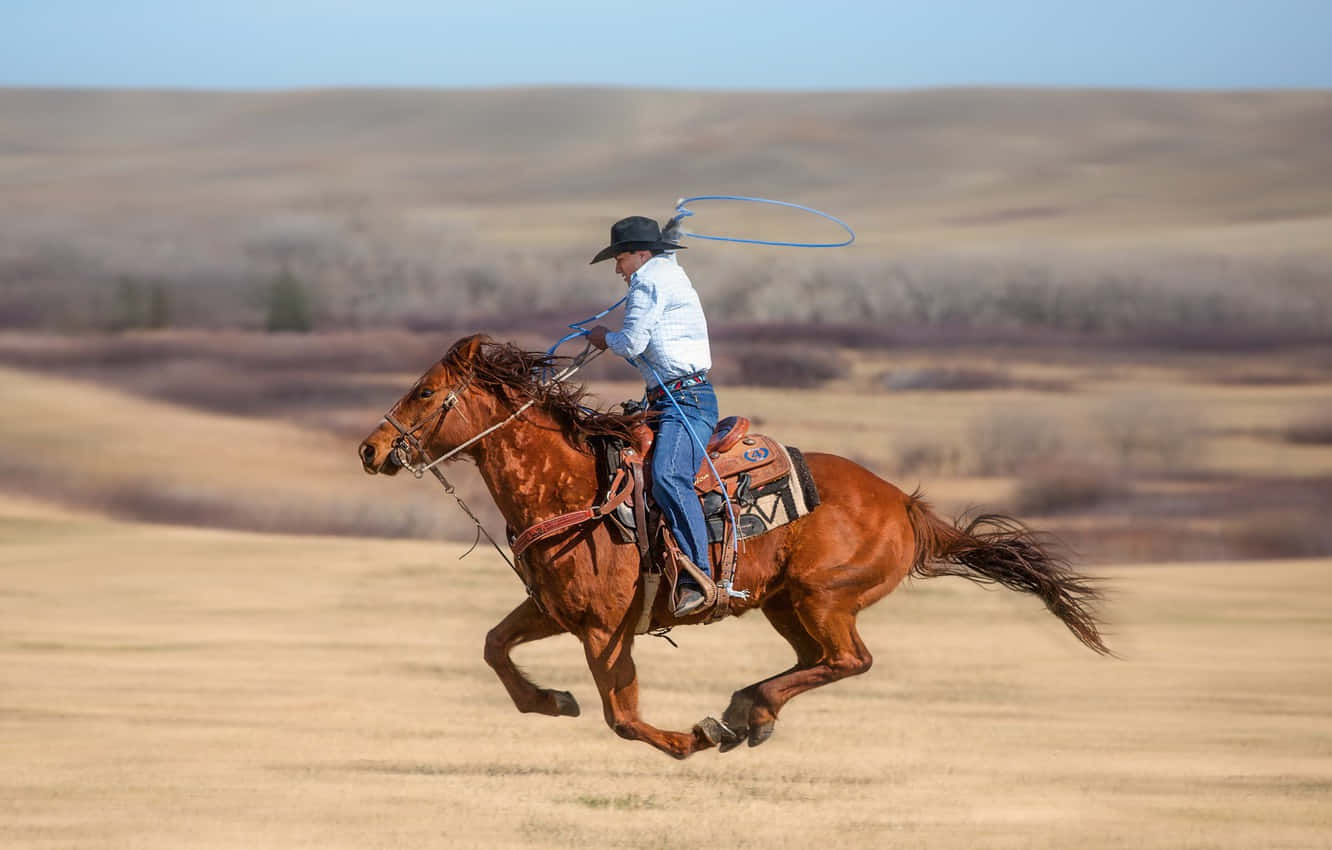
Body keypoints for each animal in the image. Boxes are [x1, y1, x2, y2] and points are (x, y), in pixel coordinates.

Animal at [358, 334, 1108, 759]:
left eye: (425, 391)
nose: (371, 449)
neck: (571, 490)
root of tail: (906, 505)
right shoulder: (553, 611)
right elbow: (494, 647)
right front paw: (551, 701)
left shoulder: (604, 630)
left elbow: (622, 717)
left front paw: (690, 740)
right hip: (785, 604)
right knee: (816, 662)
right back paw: (752, 710)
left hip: (824, 597)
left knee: (850, 660)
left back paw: (741, 712)